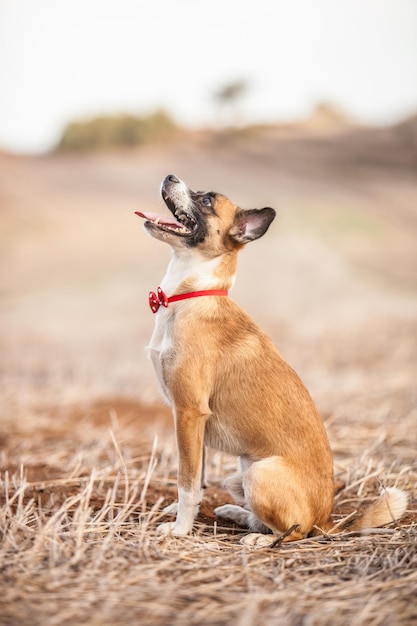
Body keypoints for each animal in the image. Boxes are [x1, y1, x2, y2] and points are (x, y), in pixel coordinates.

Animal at [136, 172, 406, 540]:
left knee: (291, 532)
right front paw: (179, 515)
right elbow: (198, 479)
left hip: (259, 474)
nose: (170, 176)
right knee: (261, 517)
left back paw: (256, 540)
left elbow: (186, 481)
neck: (192, 294)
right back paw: (236, 513)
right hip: (240, 472)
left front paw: (180, 529)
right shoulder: (194, 423)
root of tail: (326, 520)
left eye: (206, 200)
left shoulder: (189, 413)